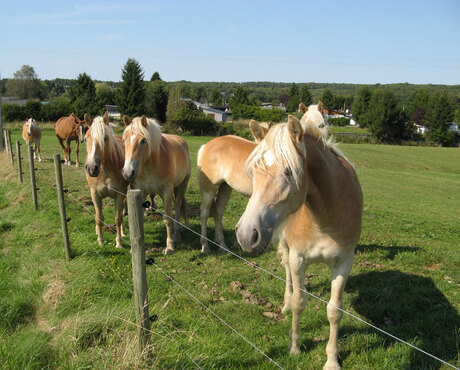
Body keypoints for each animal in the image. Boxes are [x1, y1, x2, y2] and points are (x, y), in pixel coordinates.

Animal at [84, 113, 127, 249]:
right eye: (86, 138)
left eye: (105, 138)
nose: (92, 169)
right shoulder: (95, 194)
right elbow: (99, 218)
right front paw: (101, 241)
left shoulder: (119, 194)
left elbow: (118, 218)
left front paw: (118, 243)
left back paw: (123, 233)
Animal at [122, 115, 190, 254]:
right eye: (124, 140)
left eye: (143, 140)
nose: (127, 172)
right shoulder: (141, 192)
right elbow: (141, 219)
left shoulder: (167, 191)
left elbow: (167, 219)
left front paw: (169, 246)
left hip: (181, 186)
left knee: (178, 206)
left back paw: (176, 235)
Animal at [196, 120, 272, 253]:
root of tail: (205, 146)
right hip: (208, 190)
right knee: (204, 213)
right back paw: (205, 246)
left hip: (225, 188)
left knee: (218, 212)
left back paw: (222, 245)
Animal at [237, 115, 362, 368]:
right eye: (254, 172)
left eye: (288, 172)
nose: (245, 235)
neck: (325, 218)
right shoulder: (298, 259)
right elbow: (299, 302)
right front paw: (294, 347)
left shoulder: (344, 262)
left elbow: (334, 310)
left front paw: (332, 360)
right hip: (287, 250)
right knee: (287, 277)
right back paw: (284, 305)